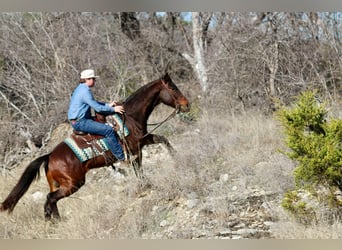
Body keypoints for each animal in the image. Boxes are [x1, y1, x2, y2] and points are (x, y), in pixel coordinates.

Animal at [0, 71, 190, 220]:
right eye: (173, 88)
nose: (187, 104)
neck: (130, 117)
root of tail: (49, 156)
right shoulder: (135, 150)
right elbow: (139, 168)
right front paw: (145, 185)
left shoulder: (144, 139)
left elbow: (163, 139)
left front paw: (176, 158)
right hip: (73, 184)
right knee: (50, 199)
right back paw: (54, 221)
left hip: (58, 184)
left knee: (50, 202)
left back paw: (54, 221)